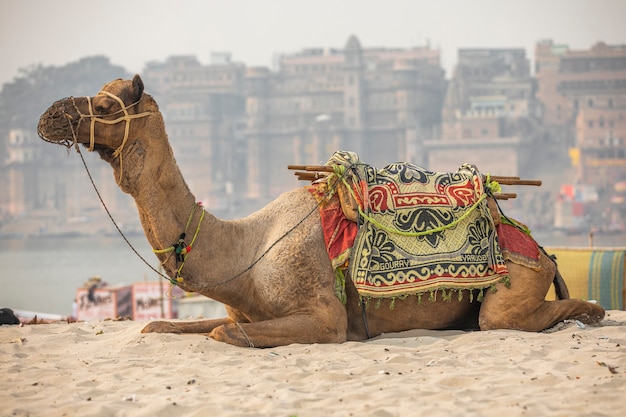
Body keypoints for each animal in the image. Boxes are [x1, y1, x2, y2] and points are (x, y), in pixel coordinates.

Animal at [36, 75, 604, 348]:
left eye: (104, 106)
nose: (48, 115)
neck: (246, 251)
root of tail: (543, 249)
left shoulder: (323, 316)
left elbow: (224, 334)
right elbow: (159, 327)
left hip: (514, 287)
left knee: (515, 318)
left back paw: (592, 314)